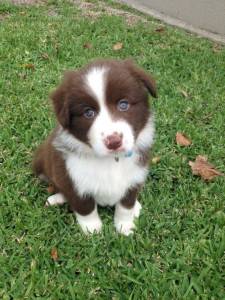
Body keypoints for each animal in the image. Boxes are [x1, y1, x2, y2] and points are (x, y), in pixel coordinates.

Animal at [33, 58, 156, 236]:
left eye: (123, 104)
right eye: (88, 113)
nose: (114, 141)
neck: (111, 160)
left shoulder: (135, 176)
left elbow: (126, 204)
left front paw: (125, 226)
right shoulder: (72, 177)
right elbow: (84, 206)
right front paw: (92, 229)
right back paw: (57, 198)